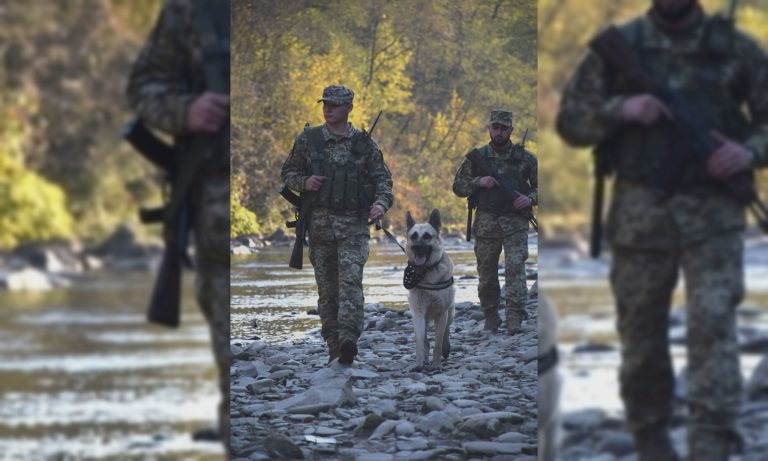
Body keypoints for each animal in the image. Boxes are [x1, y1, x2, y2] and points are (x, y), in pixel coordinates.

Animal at [402, 208, 456, 370]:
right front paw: (419, 363)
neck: (426, 272)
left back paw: (446, 348)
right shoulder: (418, 313)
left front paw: (436, 364)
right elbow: (420, 341)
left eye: (427, 236)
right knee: (426, 339)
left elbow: (438, 342)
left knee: (446, 331)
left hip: (450, 313)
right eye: (413, 236)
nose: (416, 247)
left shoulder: (441, 313)